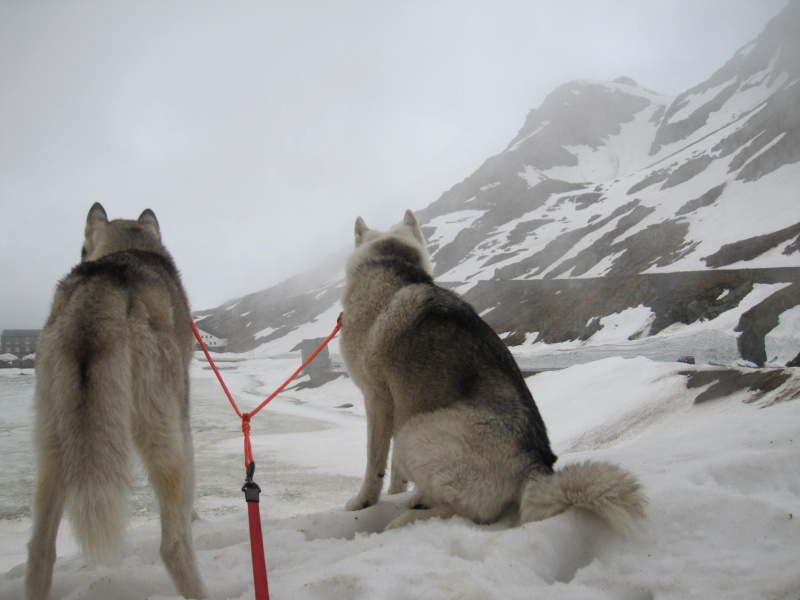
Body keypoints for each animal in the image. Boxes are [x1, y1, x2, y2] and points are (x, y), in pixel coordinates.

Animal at [26, 204, 209, 596]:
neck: (128, 247)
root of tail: (104, 284)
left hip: (52, 443)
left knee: (39, 549)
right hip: (168, 438)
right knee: (173, 544)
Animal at [340, 211, 648, 536]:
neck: (390, 261)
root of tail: (533, 465)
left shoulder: (377, 398)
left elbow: (374, 462)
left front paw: (363, 502)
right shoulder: (399, 405)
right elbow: (395, 474)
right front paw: (395, 493)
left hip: (413, 433)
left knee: (469, 512)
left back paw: (407, 519)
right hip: (410, 427)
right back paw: (420, 499)